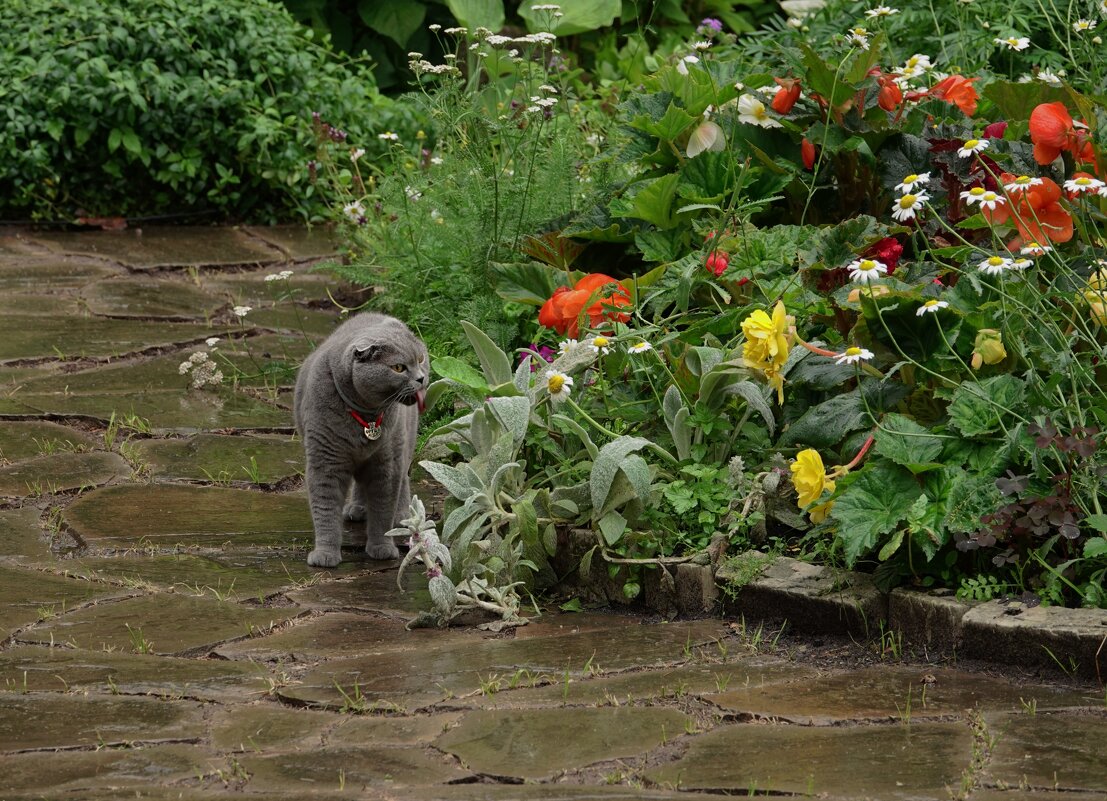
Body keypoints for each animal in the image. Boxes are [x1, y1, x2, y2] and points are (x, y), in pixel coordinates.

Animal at [292, 309, 429, 566]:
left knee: (403, 477)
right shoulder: (325, 461)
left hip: (405, 440)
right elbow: (325, 508)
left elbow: (383, 508)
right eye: (398, 367)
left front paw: (382, 548)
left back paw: (402, 515)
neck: (367, 416)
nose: (421, 378)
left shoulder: (386, 463)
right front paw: (325, 554)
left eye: (420, 359)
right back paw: (356, 508)